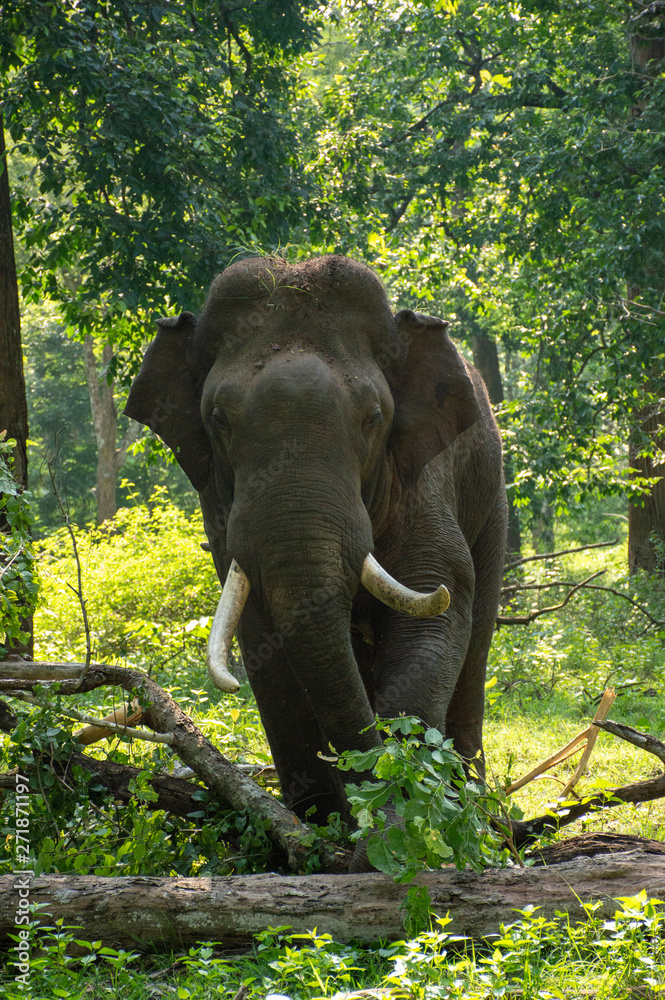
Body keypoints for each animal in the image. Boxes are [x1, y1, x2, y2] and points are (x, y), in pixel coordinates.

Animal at [125, 255, 507, 842]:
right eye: (219, 421)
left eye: (374, 419)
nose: (370, 812)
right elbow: (264, 644)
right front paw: (317, 831)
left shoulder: (425, 478)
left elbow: (437, 603)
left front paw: (406, 818)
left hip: (492, 507)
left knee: (475, 639)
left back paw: (483, 818)